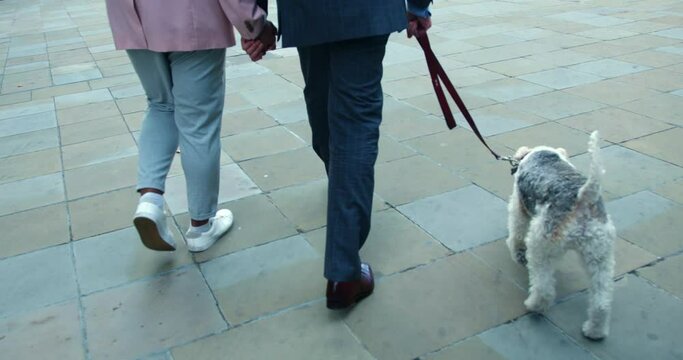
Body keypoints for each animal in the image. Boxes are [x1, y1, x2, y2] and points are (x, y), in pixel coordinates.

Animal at [504, 131, 616, 338]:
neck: (543, 154)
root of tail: (583, 198)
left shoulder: (518, 206)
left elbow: (516, 231)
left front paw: (517, 252)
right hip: (600, 253)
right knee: (601, 300)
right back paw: (594, 331)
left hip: (541, 244)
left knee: (544, 288)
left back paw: (534, 305)